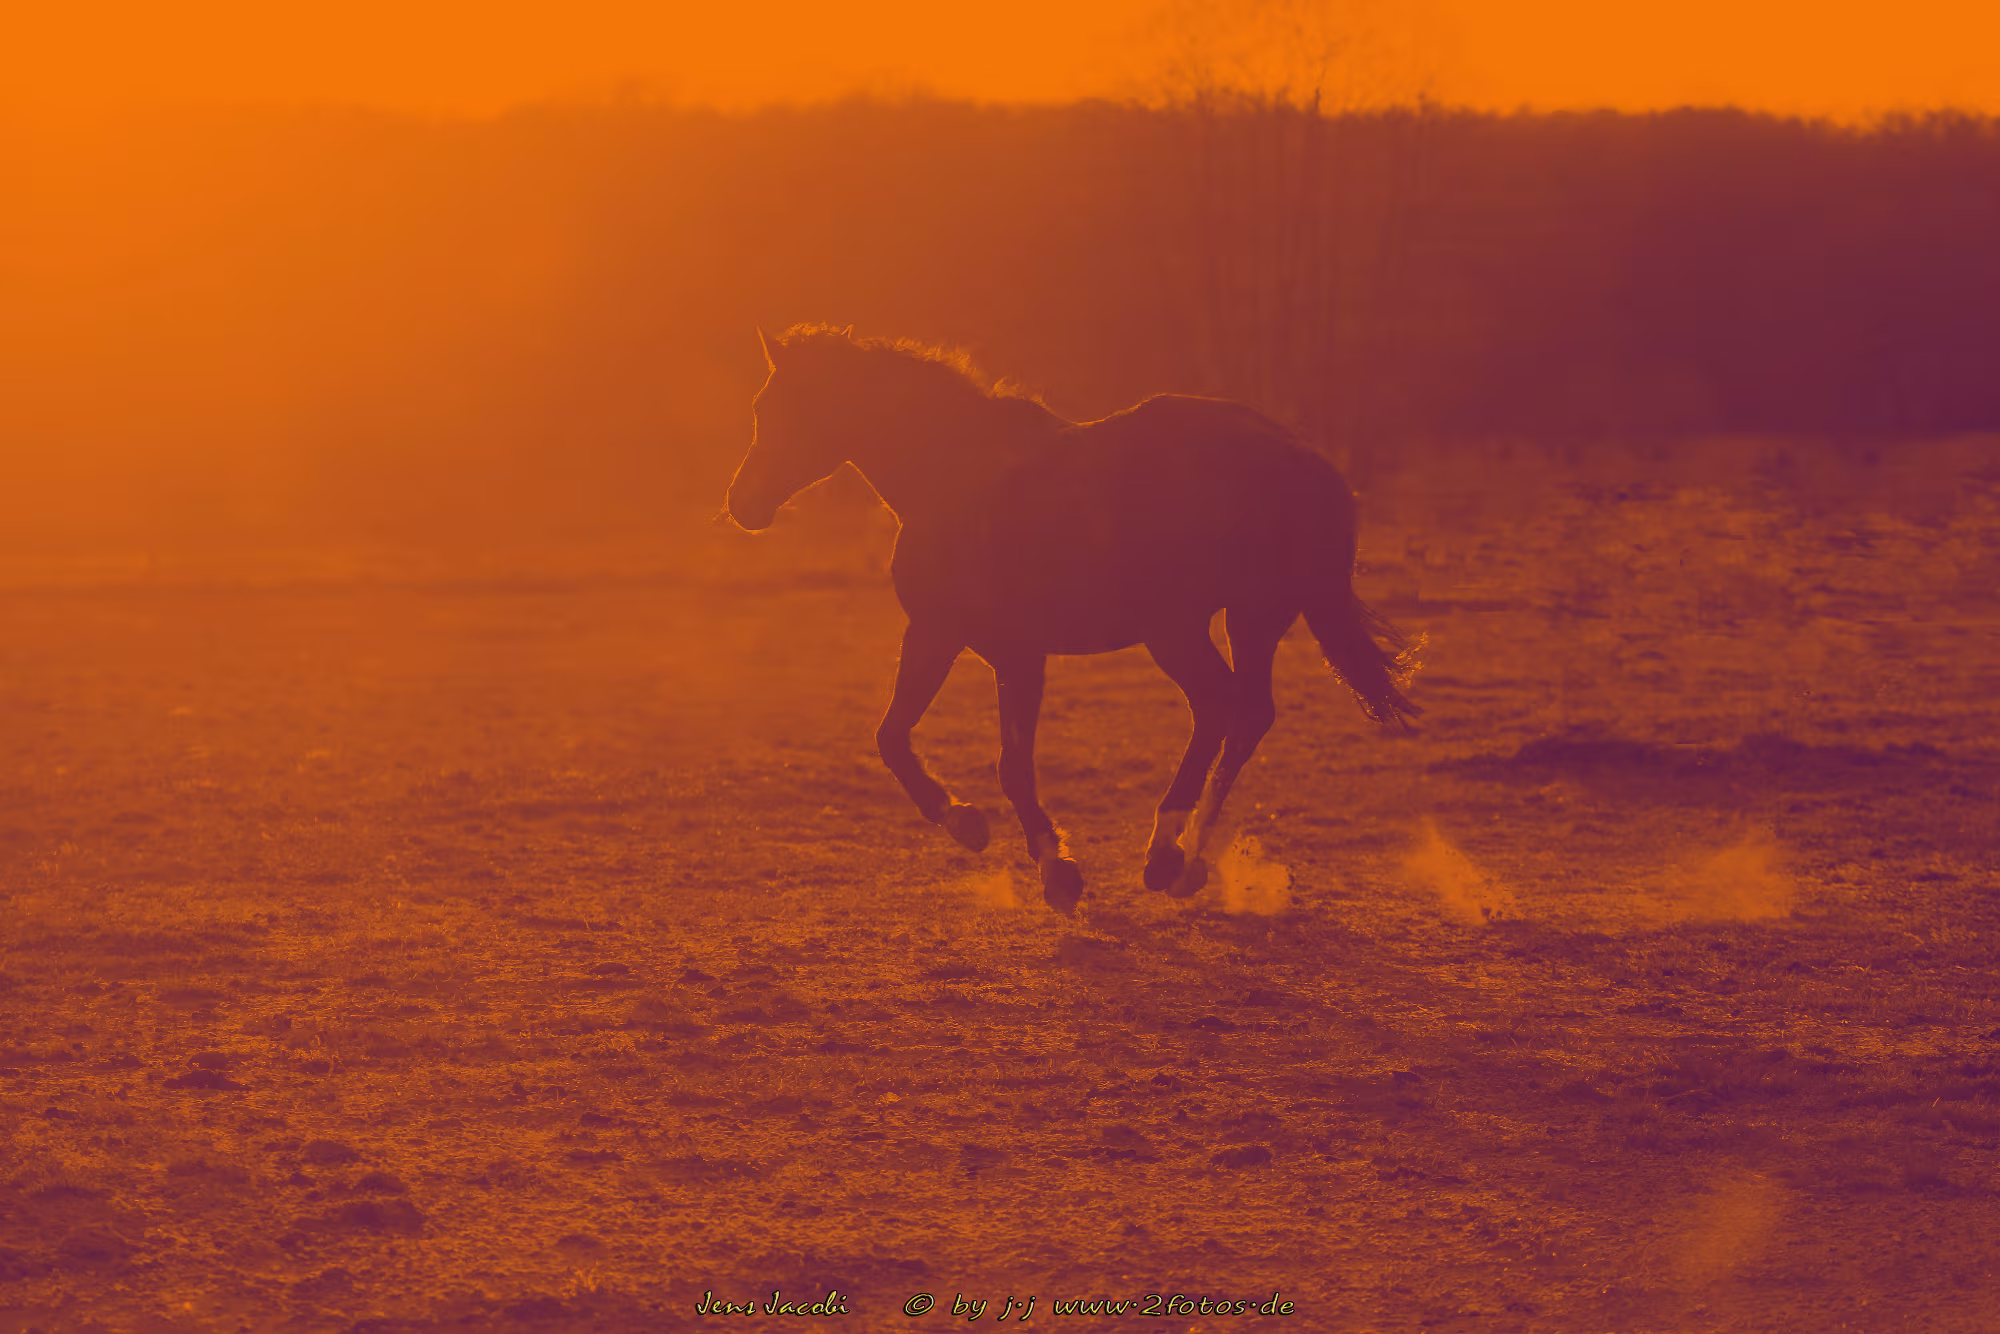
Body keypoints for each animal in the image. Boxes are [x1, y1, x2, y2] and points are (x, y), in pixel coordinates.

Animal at [725, 324, 1420, 914]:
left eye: (775, 409)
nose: (741, 503)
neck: (953, 479)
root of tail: (1303, 458)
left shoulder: (986, 647)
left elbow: (994, 762)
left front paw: (1043, 863)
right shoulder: (960, 642)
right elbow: (902, 739)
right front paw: (988, 832)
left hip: (1197, 627)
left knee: (1228, 709)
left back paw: (1169, 856)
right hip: (1227, 622)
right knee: (1238, 713)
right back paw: (1181, 860)